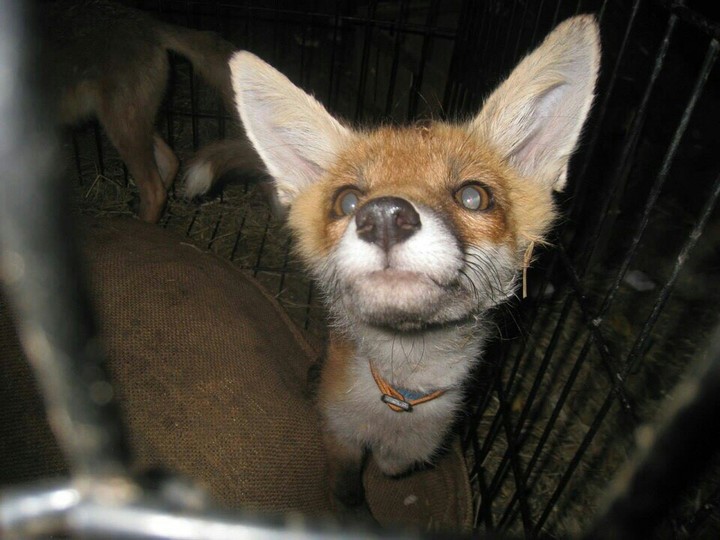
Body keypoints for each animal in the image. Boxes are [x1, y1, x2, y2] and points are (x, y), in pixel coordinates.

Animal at [224, 16, 600, 514]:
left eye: (473, 196)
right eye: (347, 201)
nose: (384, 217)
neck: (402, 393)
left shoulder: (422, 443)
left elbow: (395, 462)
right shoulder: (339, 434)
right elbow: (345, 488)